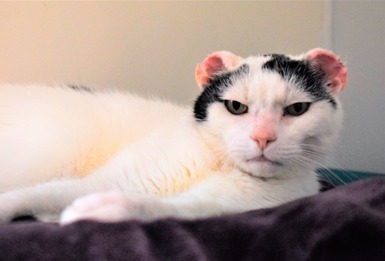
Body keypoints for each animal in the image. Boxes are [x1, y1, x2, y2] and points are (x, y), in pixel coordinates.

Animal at [0, 48, 346, 223]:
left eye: (297, 109)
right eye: (236, 107)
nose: (263, 137)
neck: (216, 164)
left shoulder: (213, 207)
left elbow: (162, 208)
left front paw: (102, 210)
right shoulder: (108, 179)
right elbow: (42, 193)